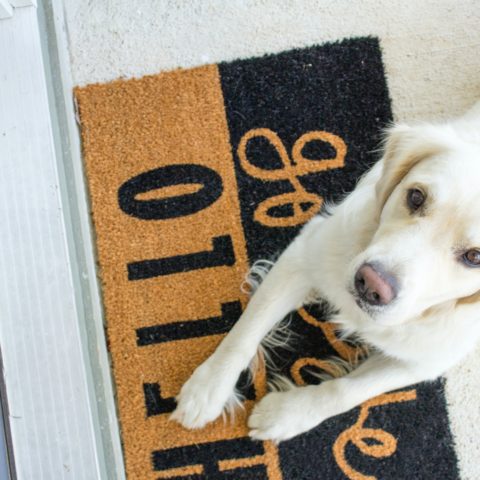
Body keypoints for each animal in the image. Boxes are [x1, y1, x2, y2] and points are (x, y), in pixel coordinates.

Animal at [172, 103, 480, 444]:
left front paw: (287, 413)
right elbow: (246, 329)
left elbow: (347, 390)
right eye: (416, 196)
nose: (370, 285)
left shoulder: (428, 360)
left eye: (475, 257)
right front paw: (208, 387)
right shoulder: (305, 253)